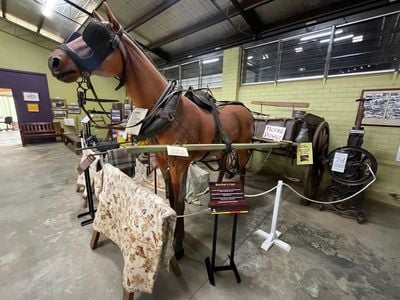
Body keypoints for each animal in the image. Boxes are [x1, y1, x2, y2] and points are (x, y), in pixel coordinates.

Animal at [47, 2, 253, 258]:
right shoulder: (163, 160)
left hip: (243, 149)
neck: (167, 109)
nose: (53, 60)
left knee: (241, 171)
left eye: (95, 35)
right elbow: (171, 199)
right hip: (225, 149)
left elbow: (179, 202)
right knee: (225, 166)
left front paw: (178, 244)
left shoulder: (180, 163)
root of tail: (245, 109)